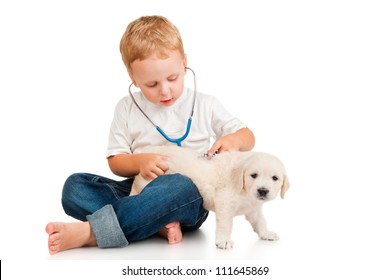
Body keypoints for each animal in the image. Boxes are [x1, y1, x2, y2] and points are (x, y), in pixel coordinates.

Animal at [131, 145, 290, 248]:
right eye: (254, 175)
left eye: (275, 178)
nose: (263, 191)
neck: (244, 190)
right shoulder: (225, 203)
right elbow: (226, 224)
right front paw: (224, 240)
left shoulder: (253, 209)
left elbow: (260, 221)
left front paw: (266, 233)